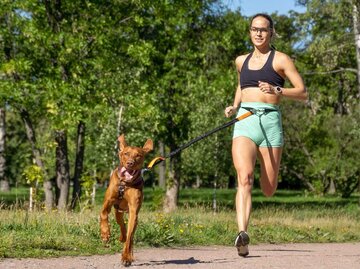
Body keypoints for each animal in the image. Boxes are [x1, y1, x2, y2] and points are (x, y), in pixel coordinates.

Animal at [100, 134, 153, 266]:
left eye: (138, 155)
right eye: (126, 153)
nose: (130, 163)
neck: (125, 183)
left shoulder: (134, 211)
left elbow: (129, 238)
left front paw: (126, 258)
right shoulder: (107, 202)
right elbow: (103, 214)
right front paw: (105, 234)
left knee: (129, 235)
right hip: (118, 212)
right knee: (122, 225)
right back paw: (120, 236)